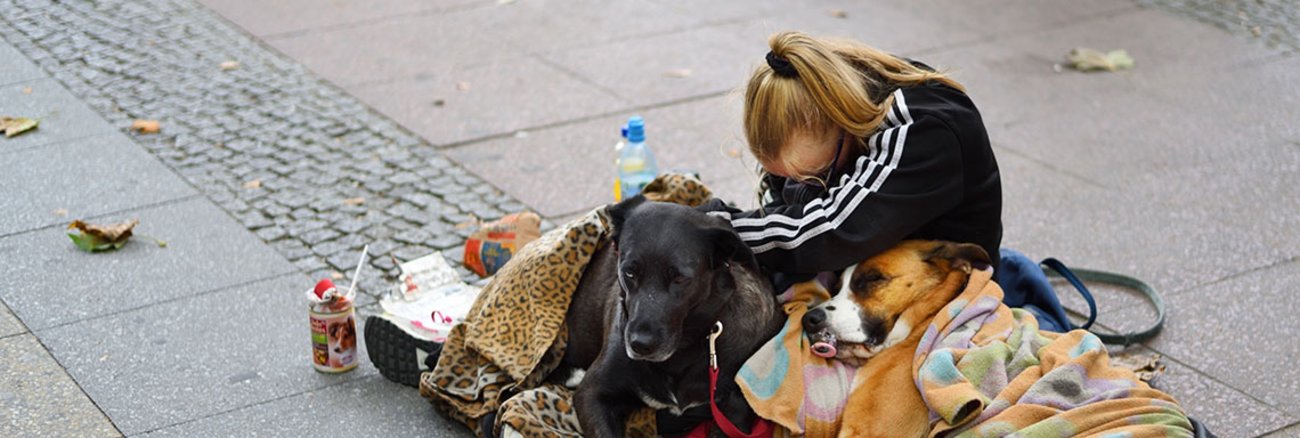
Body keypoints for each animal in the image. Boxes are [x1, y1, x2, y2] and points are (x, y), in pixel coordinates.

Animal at [556, 194, 780, 436]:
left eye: (679, 278)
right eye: (629, 272)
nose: (640, 345)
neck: (683, 350)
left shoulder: (735, 408)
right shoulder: (592, 393)